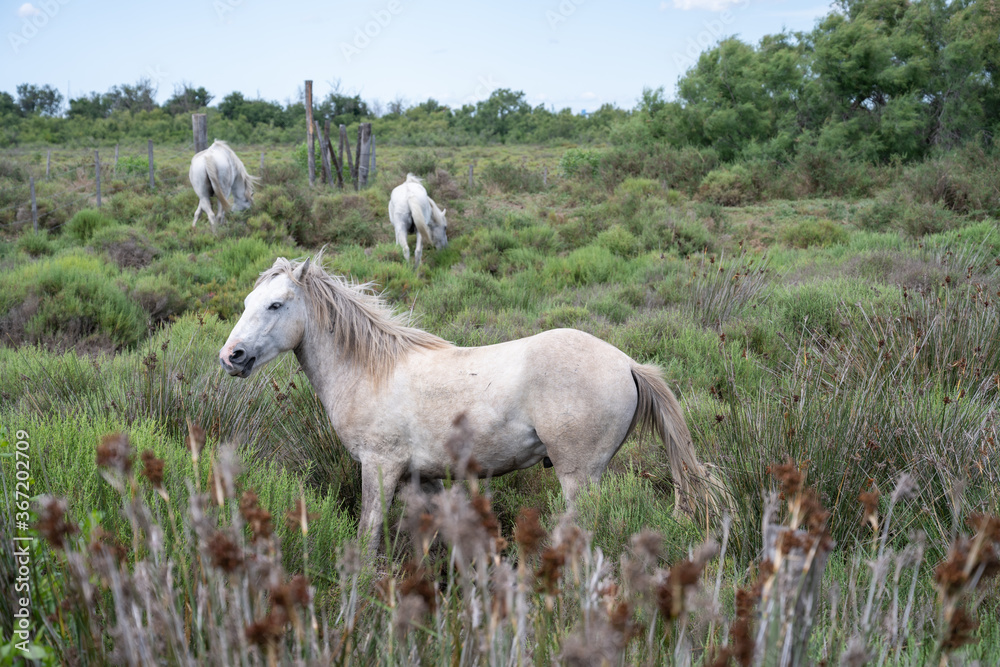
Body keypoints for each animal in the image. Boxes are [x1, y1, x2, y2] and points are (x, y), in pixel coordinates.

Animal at [219, 255, 716, 551]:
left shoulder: (379, 466)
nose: (232, 356)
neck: (371, 369)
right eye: (248, 300)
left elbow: (368, 533)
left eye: (276, 305)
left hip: (579, 476)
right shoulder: (422, 478)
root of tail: (628, 363)